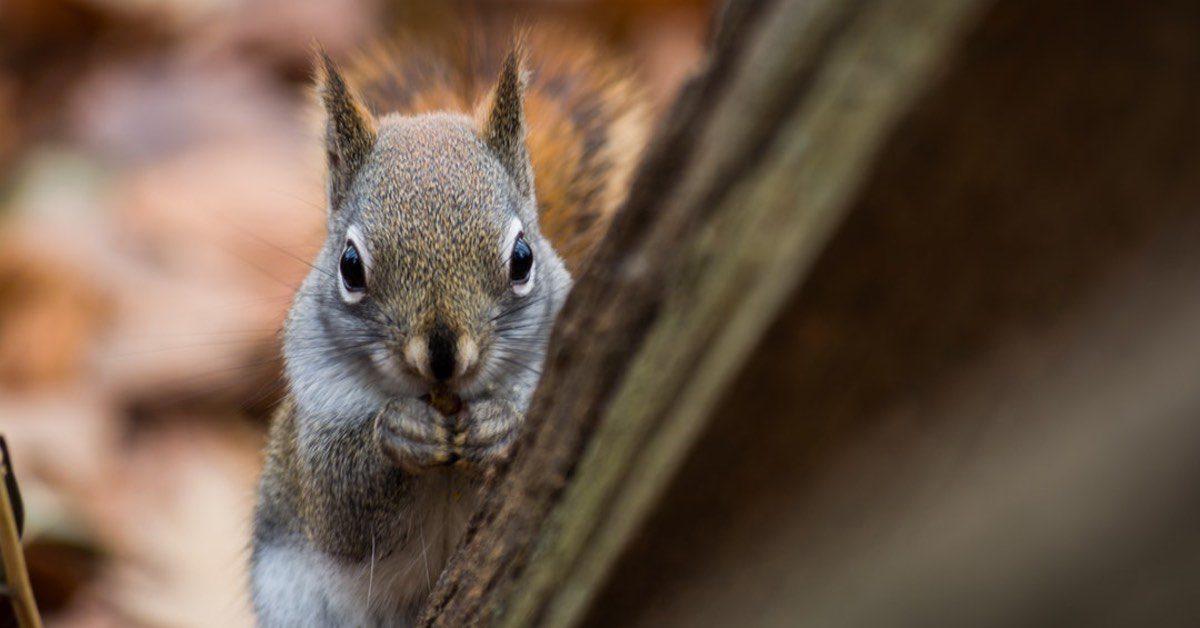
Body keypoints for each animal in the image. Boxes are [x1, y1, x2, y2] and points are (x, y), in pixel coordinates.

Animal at [249, 27, 650, 627]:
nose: (441, 356)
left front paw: (501, 425)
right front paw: (400, 432)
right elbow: (340, 508)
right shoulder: (315, 410)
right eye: (350, 266)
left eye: (523, 258)